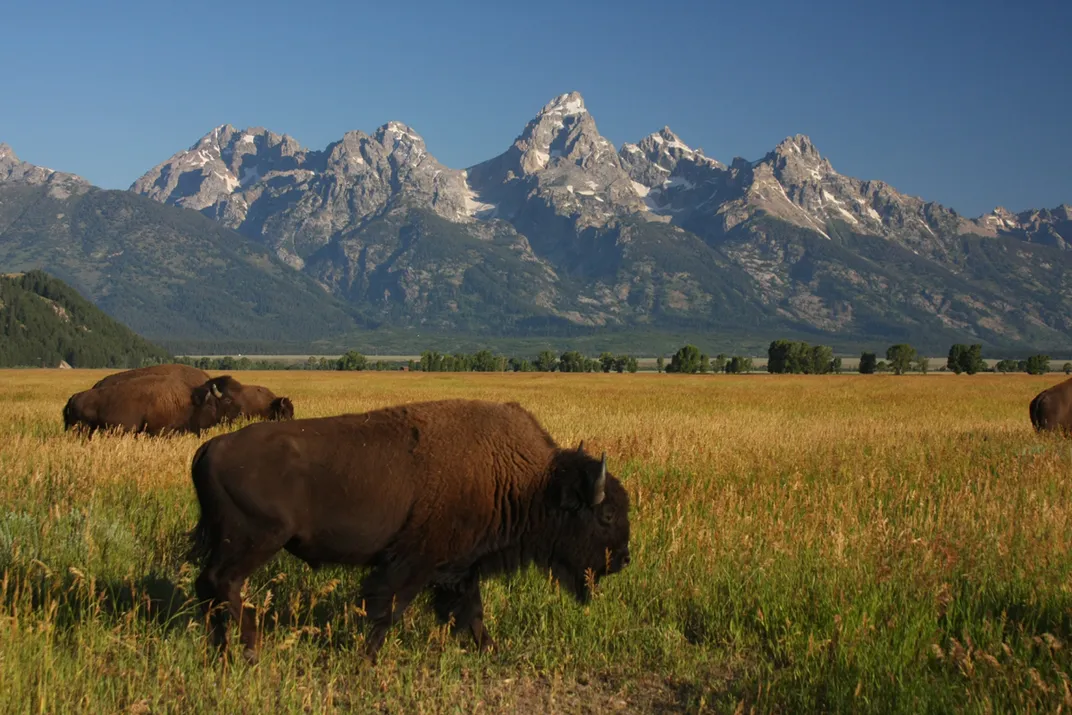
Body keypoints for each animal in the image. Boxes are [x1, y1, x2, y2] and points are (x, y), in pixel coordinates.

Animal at [187, 396, 630, 664]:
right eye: (607, 515)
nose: (624, 559)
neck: (532, 483)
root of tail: (211, 447)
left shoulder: (460, 569)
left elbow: (471, 613)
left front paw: (490, 650)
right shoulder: (414, 563)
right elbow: (389, 608)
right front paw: (366, 659)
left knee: (210, 585)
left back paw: (222, 651)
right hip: (255, 540)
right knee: (223, 583)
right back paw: (249, 650)